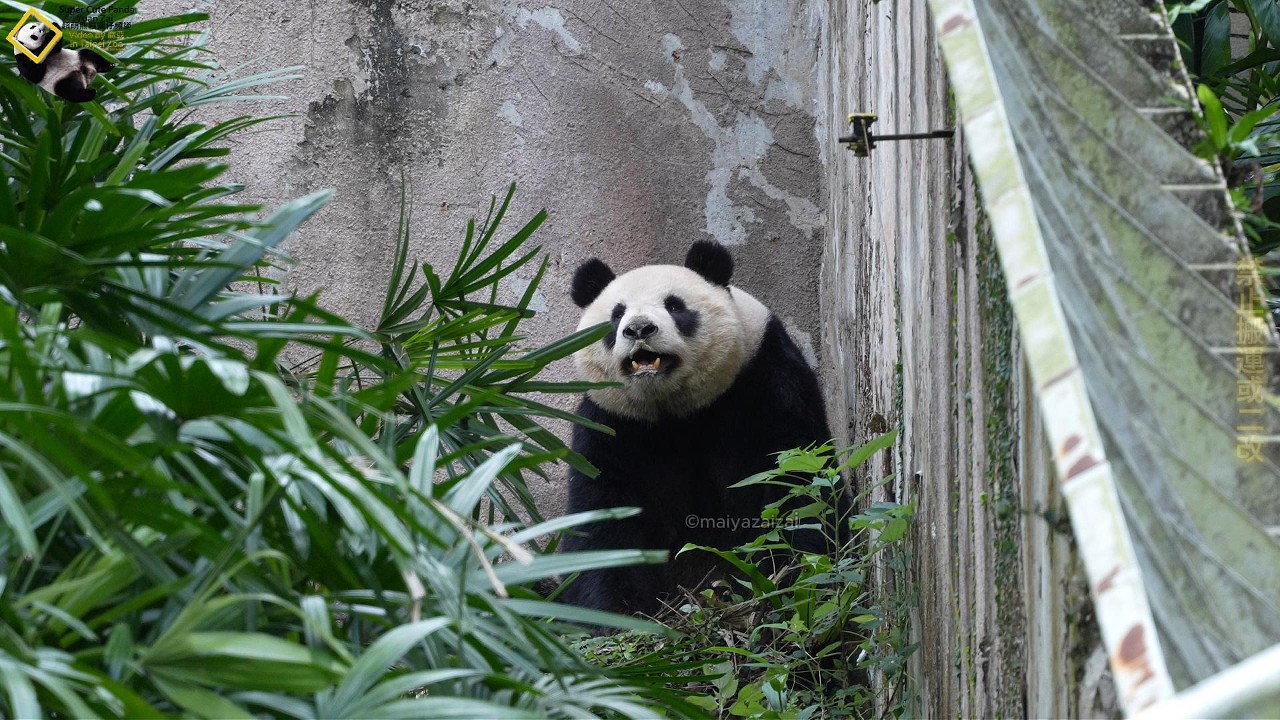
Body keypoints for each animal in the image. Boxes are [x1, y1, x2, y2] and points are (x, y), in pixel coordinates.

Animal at [559, 240, 841, 616]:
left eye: (675, 306)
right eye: (617, 315)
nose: (639, 329)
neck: (675, 412)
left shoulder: (765, 382)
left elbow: (794, 481)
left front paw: (793, 583)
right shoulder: (611, 423)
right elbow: (603, 517)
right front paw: (613, 612)